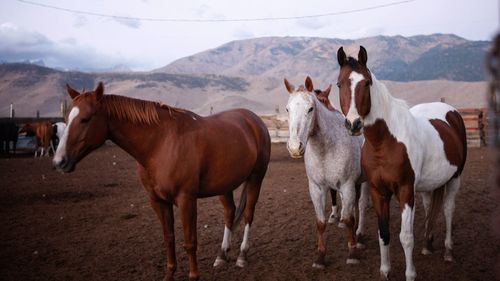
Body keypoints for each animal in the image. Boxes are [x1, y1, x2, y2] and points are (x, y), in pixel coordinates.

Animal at [53, 81, 272, 280]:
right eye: (66, 118)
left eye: (85, 119)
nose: (59, 161)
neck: (161, 144)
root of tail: (254, 120)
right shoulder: (158, 201)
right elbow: (169, 239)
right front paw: (169, 274)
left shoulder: (186, 200)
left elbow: (190, 241)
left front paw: (193, 276)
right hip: (225, 186)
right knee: (229, 213)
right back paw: (221, 255)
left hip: (256, 178)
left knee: (248, 215)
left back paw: (242, 256)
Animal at [284, 76, 370, 266]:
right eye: (287, 109)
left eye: (310, 108)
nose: (294, 147)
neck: (326, 148)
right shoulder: (316, 188)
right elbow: (321, 222)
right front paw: (320, 256)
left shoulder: (347, 185)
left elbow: (349, 219)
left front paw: (352, 253)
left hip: (365, 182)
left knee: (361, 205)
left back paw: (360, 236)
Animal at [336, 46, 468, 280]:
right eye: (339, 84)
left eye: (366, 83)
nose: (353, 124)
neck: (384, 142)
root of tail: (451, 113)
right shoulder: (379, 192)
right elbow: (384, 233)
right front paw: (385, 270)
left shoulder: (405, 191)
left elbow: (405, 237)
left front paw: (410, 274)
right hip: (430, 185)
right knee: (430, 208)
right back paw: (428, 244)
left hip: (455, 178)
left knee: (448, 210)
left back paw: (448, 251)